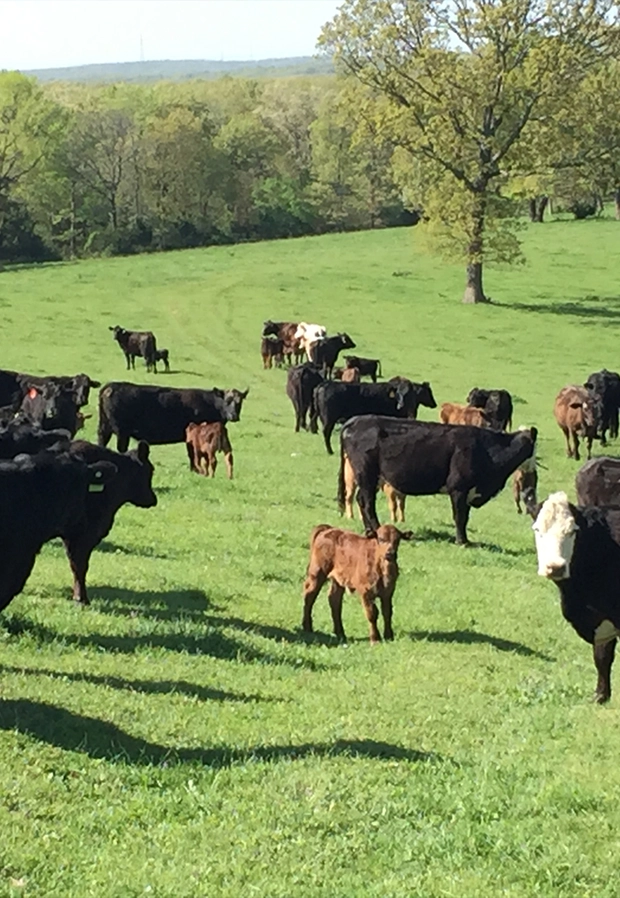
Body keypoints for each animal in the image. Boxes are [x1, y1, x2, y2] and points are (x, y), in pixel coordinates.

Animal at [98, 382, 249, 453]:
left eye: (239, 402)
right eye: (227, 401)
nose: (234, 416)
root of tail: (110, 386)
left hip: (104, 427)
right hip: (122, 432)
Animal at [339, 416, 537, 544]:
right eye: (534, 450)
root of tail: (354, 420)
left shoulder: (468, 492)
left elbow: (465, 517)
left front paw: (466, 539)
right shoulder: (458, 488)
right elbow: (459, 517)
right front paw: (461, 542)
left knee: (360, 499)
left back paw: (369, 531)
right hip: (366, 473)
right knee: (367, 502)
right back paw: (377, 530)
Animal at [533, 491, 620, 703]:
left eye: (572, 531)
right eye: (538, 530)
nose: (555, 567)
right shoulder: (602, 620)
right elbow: (602, 657)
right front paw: (600, 695)